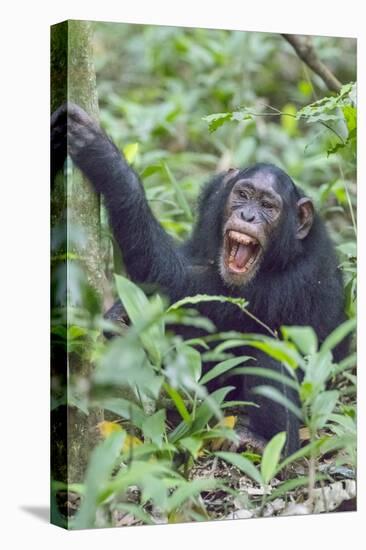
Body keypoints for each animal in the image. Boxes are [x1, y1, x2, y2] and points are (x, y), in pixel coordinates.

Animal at [50, 103, 346, 458]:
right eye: (243, 195)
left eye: (268, 206)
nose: (248, 215)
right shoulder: (212, 202)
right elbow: (189, 259)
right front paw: (119, 315)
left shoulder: (294, 281)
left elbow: (182, 284)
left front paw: (105, 159)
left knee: (269, 352)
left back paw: (267, 443)